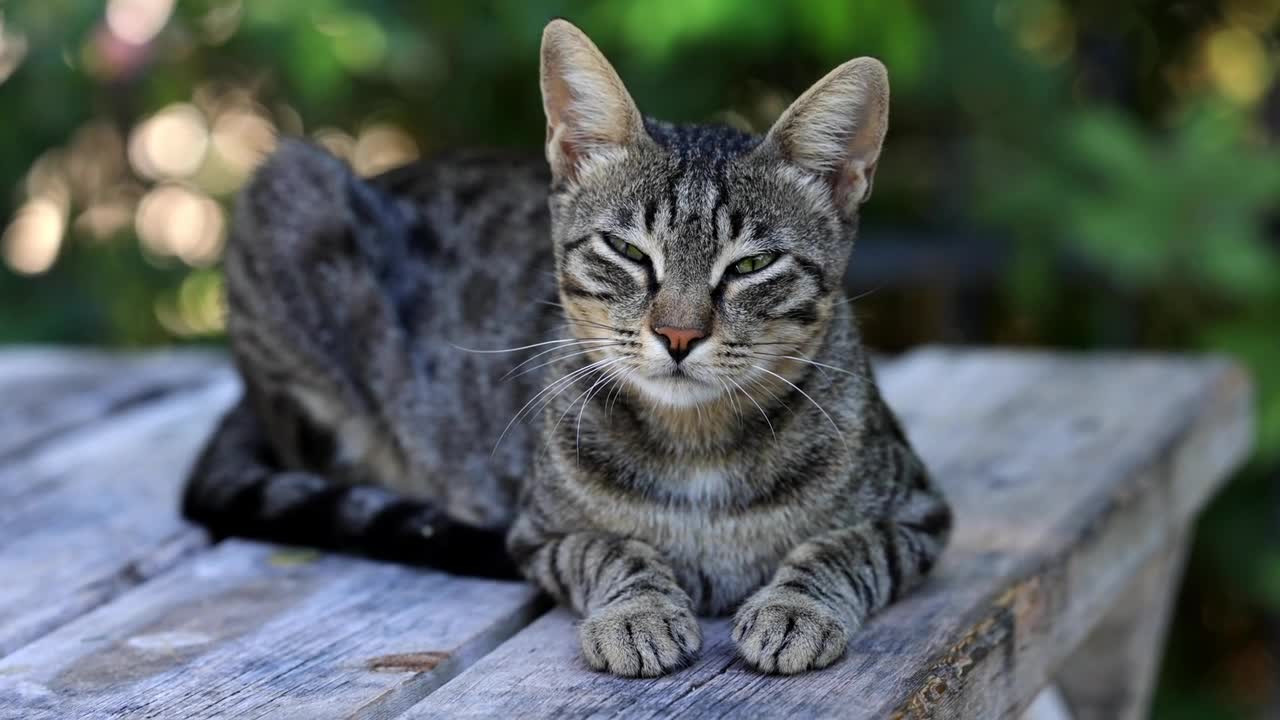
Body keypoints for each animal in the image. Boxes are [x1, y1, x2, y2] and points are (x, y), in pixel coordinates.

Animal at [186, 19, 952, 676]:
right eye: (626, 251)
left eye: (751, 266)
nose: (678, 334)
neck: (697, 443)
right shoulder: (539, 533)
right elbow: (607, 548)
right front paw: (638, 611)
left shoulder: (918, 514)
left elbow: (846, 547)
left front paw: (794, 608)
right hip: (287, 195)